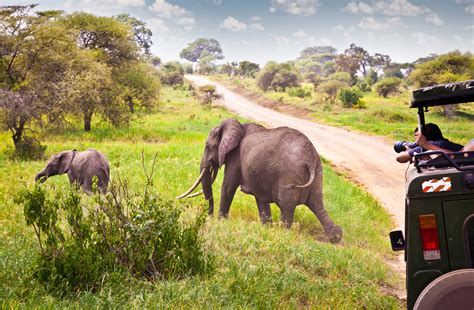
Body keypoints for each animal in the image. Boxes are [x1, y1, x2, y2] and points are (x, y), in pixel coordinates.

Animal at [177, 118, 340, 242]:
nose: (208, 217)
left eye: (207, 146)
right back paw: (336, 236)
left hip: (289, 175)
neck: (238, 126)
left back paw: (283, 234)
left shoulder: (235, 158)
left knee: (287, 206)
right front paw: (266, 227)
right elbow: (261, 199)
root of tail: (310, 158)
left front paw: (220, 222)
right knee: (317, 204)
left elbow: (228, 188)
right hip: (318, 173)